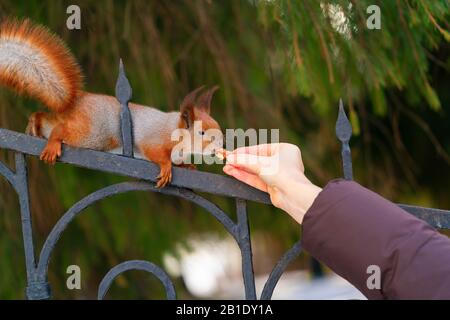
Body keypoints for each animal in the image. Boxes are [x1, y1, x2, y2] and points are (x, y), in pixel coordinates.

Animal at [0, 19, 222, 188]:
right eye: (202, 132)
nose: (220, 146)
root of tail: (79, 99)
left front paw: (187, 166)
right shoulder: (154, 139)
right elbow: (156, 153)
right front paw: (166, 167)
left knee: (47, 120)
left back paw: (34, 124)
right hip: (95, 134)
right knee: (60, 130)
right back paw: (53, 141)